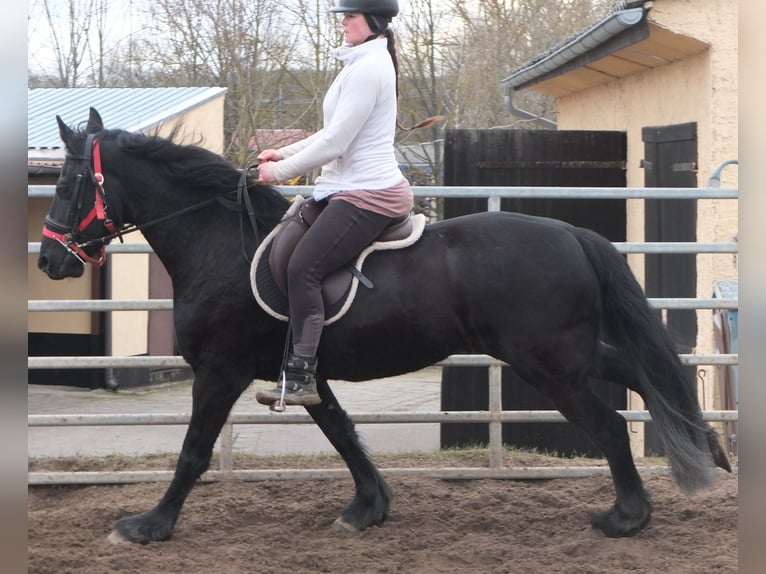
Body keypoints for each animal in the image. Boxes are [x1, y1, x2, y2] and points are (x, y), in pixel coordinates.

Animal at [37, 110, 732, 548]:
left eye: (68, 183)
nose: (49, 261)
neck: (220, 244)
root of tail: (572, 232)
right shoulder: (304, 371)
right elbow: (343, 434)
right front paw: (368, 509)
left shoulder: (220, 370)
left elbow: (193, 451)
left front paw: (147, 526)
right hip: (565, 355)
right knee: (642, 372)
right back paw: (706, 450)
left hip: (549, 364)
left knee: (611, 422)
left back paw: (628, 516)